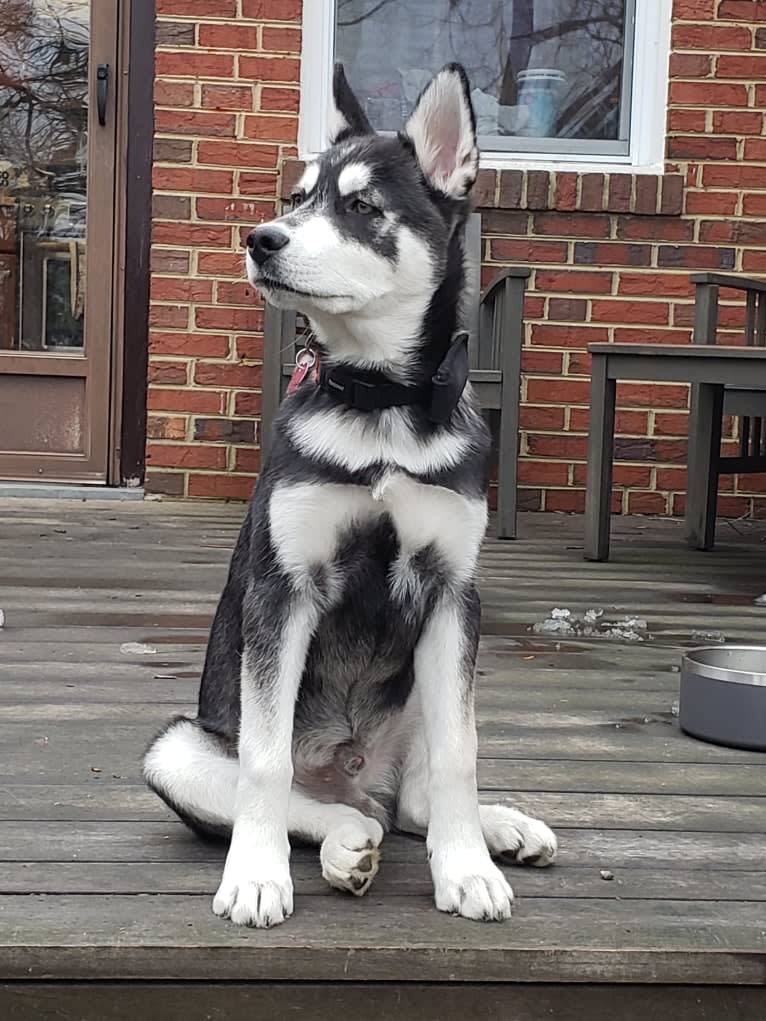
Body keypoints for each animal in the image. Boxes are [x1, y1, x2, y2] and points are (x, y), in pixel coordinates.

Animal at [142, 61, 559, 927]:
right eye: (298, 197)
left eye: (363, 207)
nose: (261, 240)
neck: (380, 406)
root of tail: (356, 772)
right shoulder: (282, 592)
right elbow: (265, 763)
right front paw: (255, 875)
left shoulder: (452, 595)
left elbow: (461, 754)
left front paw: (467, 868)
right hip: (175, 748)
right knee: (331, 808)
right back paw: (342, 843)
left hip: (427, 683)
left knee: (414, 801)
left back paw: (501, 826)